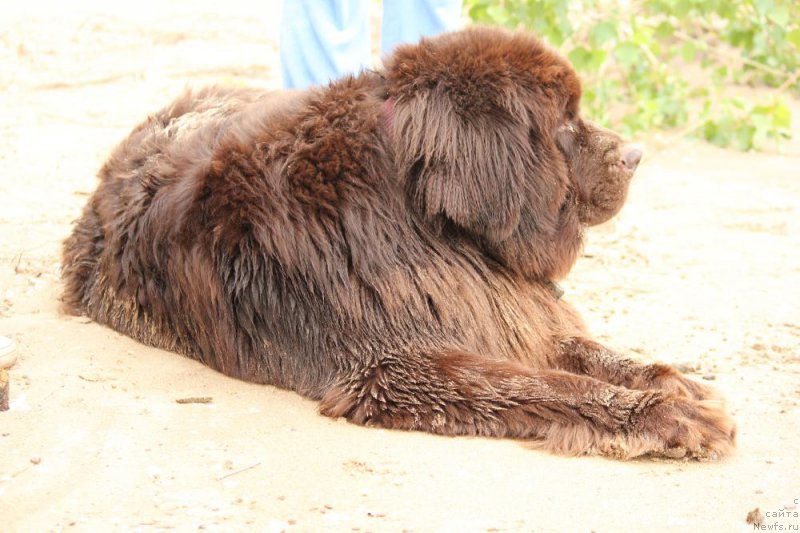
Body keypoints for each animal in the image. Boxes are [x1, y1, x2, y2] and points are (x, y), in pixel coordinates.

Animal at [64, 26, 736, 458]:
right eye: (564, 124)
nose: (636, 154)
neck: (419, 216)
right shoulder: (397, 364)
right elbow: (545, 386)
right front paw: (668, 415)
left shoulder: (496, 307)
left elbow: (588, 352)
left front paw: (670, 382)